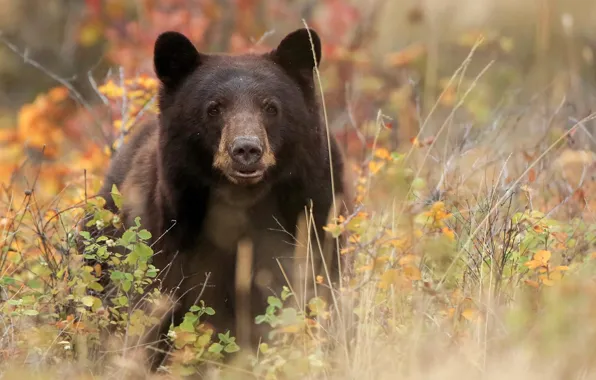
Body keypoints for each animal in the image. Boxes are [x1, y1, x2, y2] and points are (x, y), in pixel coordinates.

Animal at [83, 28, 354, 372]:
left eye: (271, 107)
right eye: (214, 108)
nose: (246, 149)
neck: (243, 205)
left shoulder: (315, 219)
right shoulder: (169, 244)